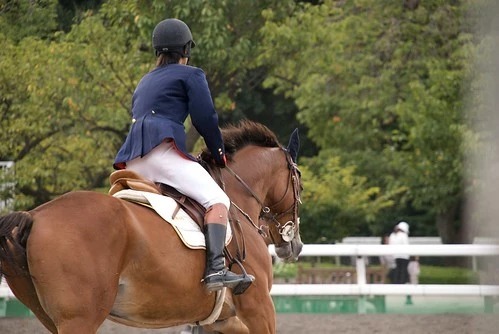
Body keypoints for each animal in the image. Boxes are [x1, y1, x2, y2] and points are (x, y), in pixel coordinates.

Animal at [0, 121, 304, 332]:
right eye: (299, 184)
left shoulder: (219, 321)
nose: (294, 245)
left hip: (50, 317)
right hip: (80, 319)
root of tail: (36, 216)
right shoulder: (259, 308)